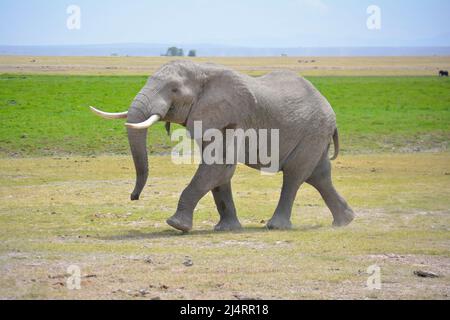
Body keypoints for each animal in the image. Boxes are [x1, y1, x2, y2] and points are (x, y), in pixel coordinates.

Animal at [89, 60, 354, 231]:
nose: (134, 197)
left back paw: (277, 227)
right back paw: (345, 221)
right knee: (318, 175)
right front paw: (226, 229)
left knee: (294, 176)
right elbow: (219, 173)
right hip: (315, 135)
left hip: (313, 131)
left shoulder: (235, 119)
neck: (203, 71)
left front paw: (176, 225)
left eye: (174, 89)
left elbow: (218, 166)